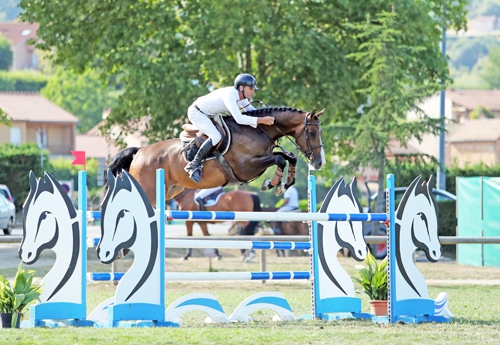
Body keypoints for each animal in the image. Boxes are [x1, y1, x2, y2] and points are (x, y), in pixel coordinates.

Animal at [106, 107, 324, 204]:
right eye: (313, 133)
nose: (319, 163)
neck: (258, 130)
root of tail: (139, 152)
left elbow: (289, 157)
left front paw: (286, 182)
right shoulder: (246, 167)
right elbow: (280, 159)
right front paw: (272, 184)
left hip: (171, 190)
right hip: (149, 191)